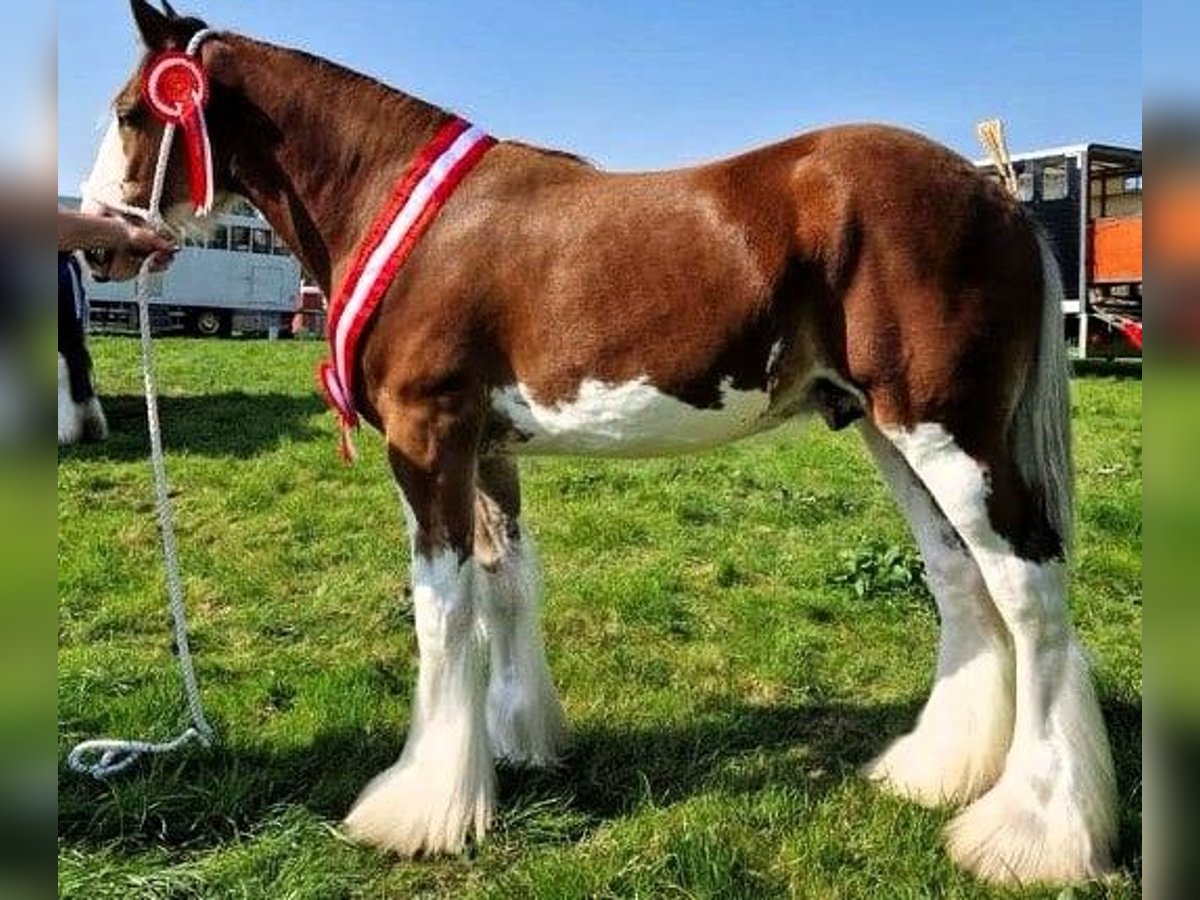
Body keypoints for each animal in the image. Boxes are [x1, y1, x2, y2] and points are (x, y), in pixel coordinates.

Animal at [79, 1, 1118, 888]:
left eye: (133, 111)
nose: (100, 244)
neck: (407, 213)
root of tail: (995, 194)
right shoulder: (486, 451)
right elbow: (504, 589)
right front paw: (512, 745)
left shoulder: (428, 440)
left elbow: (441, 612)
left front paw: (419, 809)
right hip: (886, 433)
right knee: (959, 579)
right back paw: (934, 773)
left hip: (947, 432)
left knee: (1029, 589)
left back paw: (1032, 833)